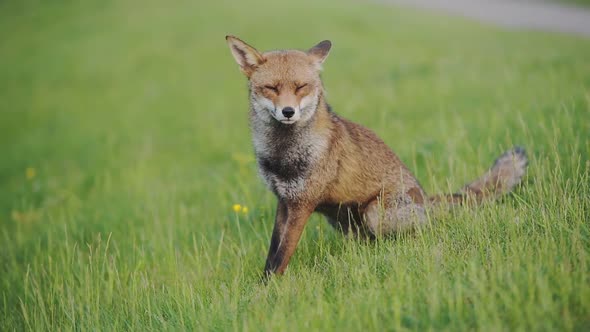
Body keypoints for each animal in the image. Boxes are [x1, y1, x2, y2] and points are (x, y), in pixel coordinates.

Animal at [224, 35, 528, 276]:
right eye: (272, 88)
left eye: (301, 87)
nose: (288, 112)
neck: (282, 155)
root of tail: (425, 196)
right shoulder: (285, 201)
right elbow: (272, 252)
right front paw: (262, 285)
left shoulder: (303, 203)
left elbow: (281, 256)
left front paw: (267, 292)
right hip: (343, 220)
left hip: (374, 212)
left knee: (423, 229)